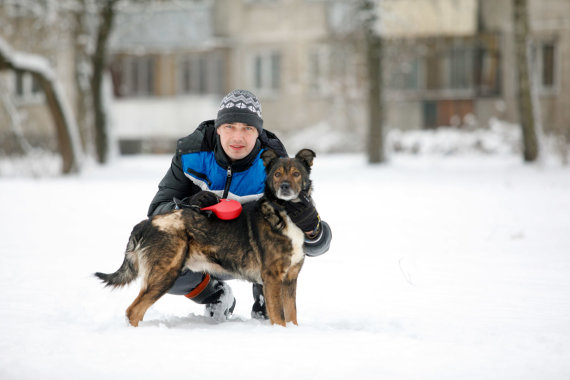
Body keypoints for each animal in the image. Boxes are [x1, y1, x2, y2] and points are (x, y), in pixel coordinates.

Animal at [94, 148, 316, 326]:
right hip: (166, 273)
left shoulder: (290, 279)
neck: (284, 211)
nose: (284, 186)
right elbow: (279, 318)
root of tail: (146, 224)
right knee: (133, 311)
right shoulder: (272, 278)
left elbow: (292, 315)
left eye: (296, 174)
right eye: (277, 174)